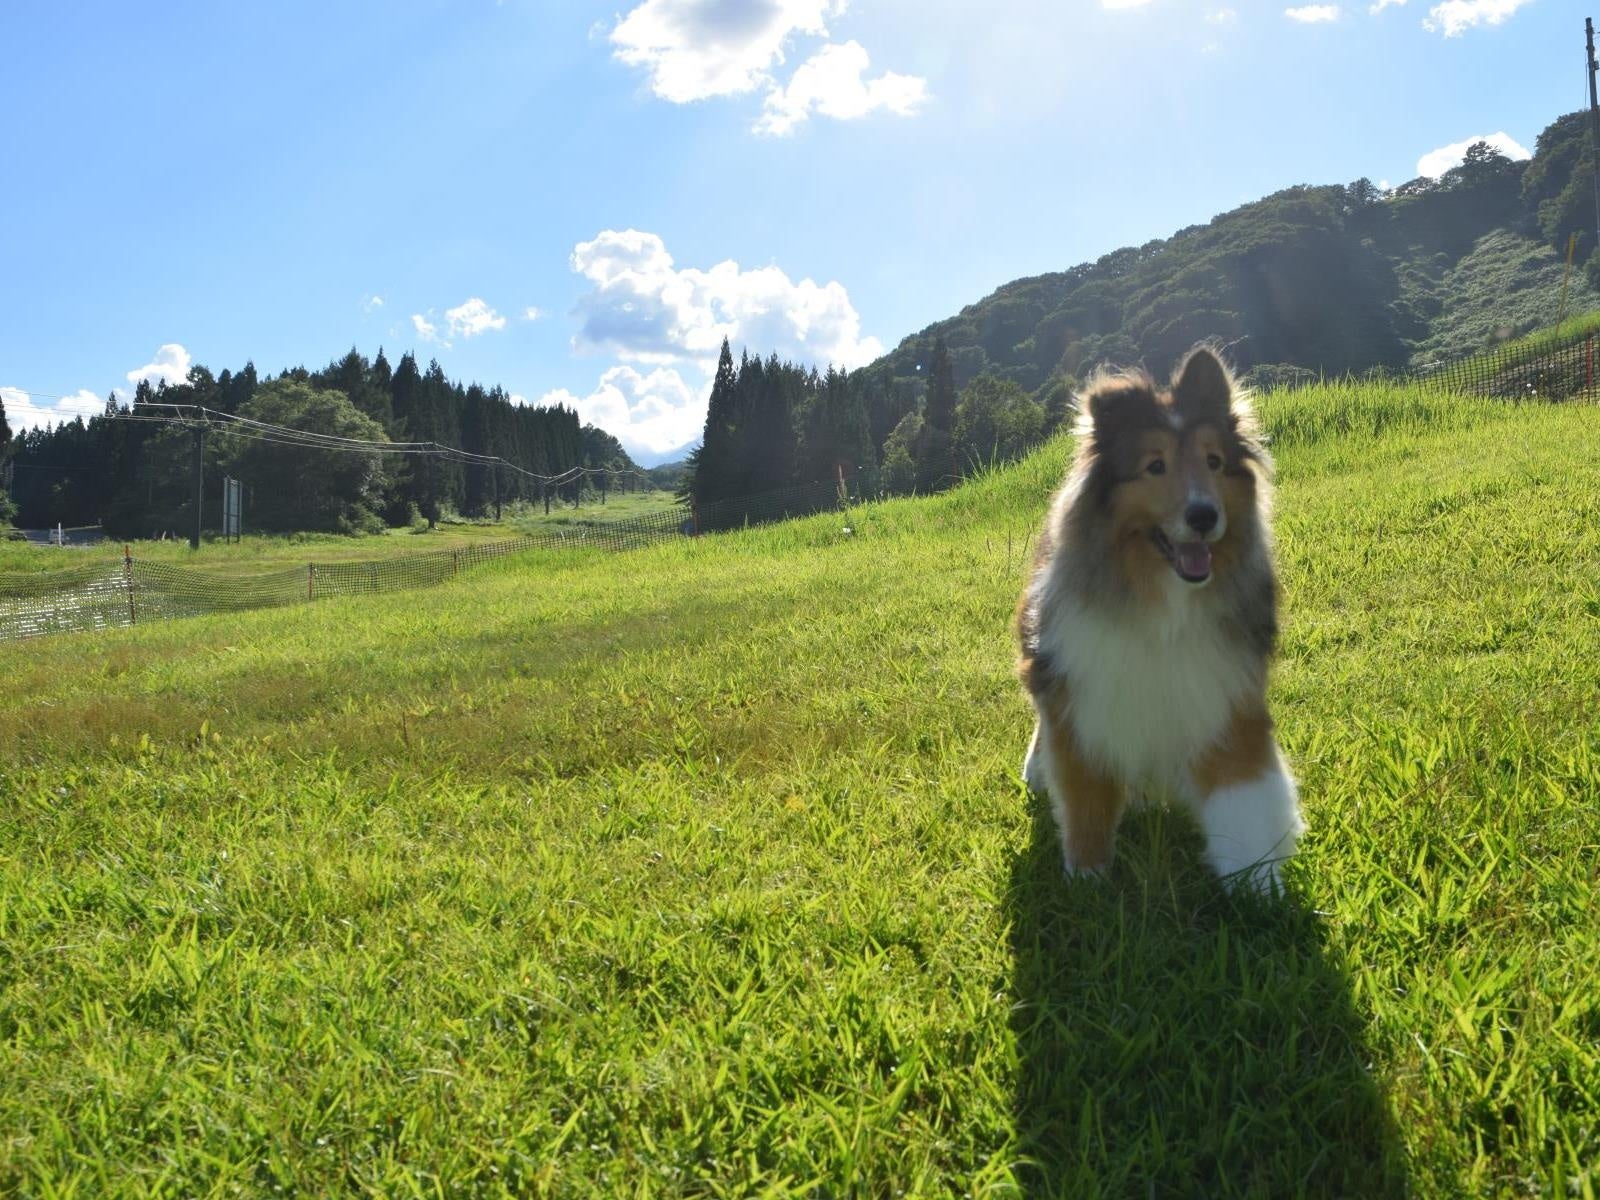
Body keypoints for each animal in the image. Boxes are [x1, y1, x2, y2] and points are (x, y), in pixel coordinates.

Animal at [1017, 347, 1305, 896]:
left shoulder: (1225, 696)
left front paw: (1256, 885)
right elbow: (1085, 794)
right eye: (1155, 466)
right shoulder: (1085, 701)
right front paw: (1088, 877)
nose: (1203, 516)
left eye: (1214, 462)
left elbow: (1244, 792)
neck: (1163, 604)